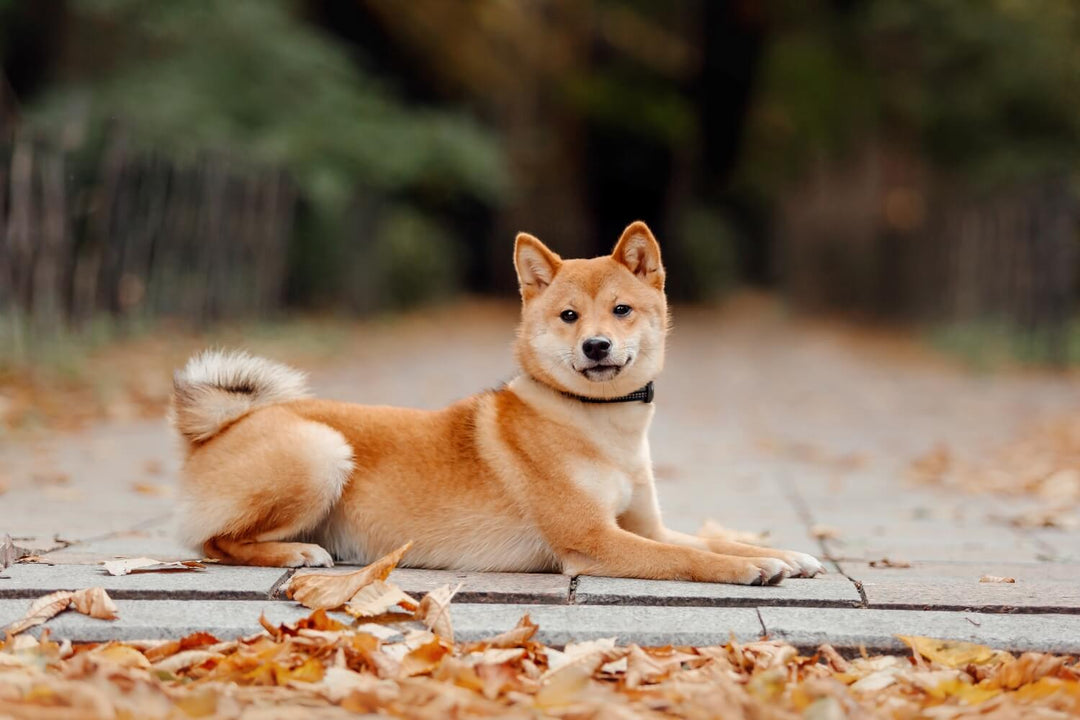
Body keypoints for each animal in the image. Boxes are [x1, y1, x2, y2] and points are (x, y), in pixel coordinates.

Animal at [172, 222, 820, 582]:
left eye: (621, 309)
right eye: (568, 316)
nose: (596, 344)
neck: (599, 424)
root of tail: (219, 427)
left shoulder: (646, 526)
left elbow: (709, 540)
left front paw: (783, 554)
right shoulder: (595, 540)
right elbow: (696, 559)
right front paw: (747, 567)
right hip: (322, 451)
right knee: (215, 543)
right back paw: (296, 553)